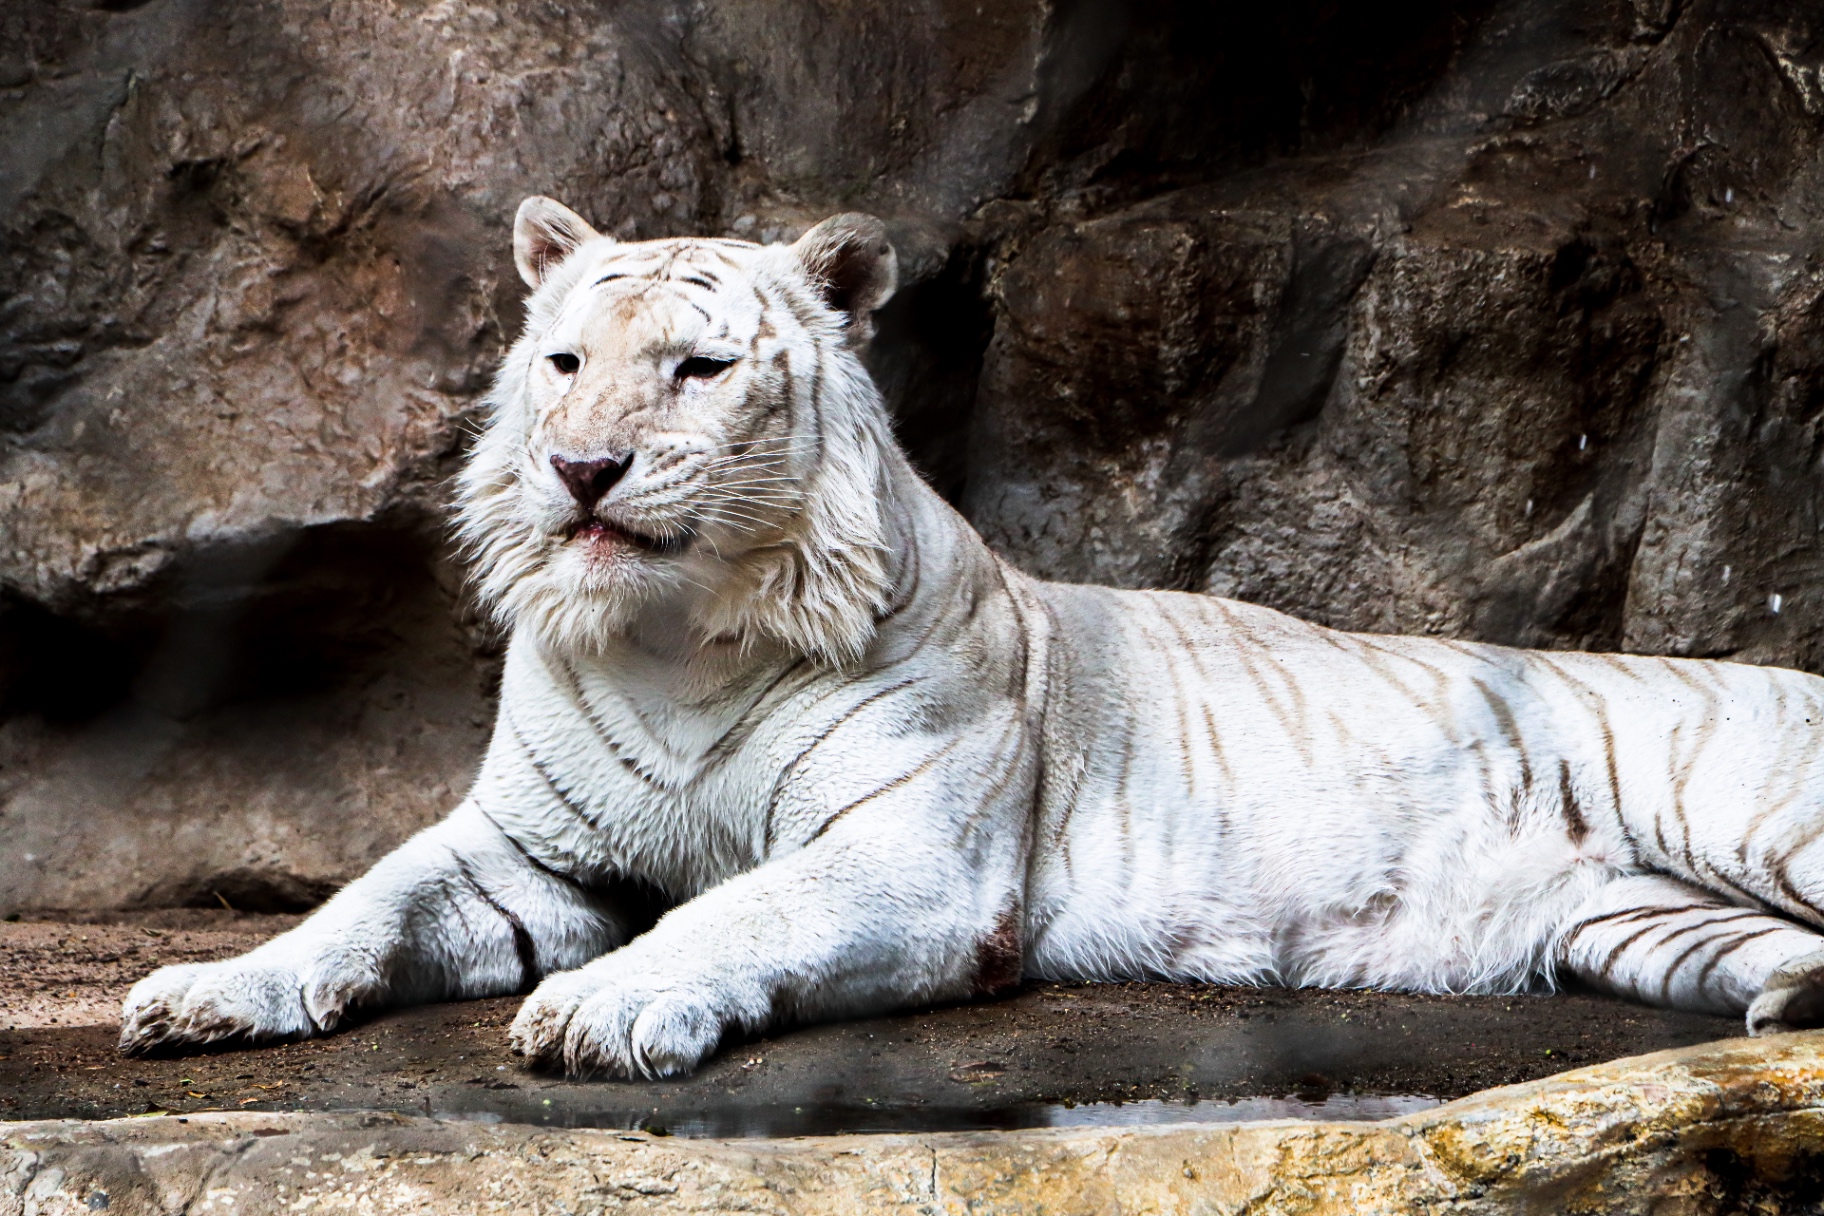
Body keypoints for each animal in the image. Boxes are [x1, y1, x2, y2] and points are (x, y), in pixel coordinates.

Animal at [119, 195, 1824, 1077]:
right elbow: (364, 903)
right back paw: (1793, 1009)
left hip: (1752, 816)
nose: (582, 469)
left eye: (696, 368)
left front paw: (602, 1010)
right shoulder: (520, 849)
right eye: (563, 361)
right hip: (1642, 922)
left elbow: (734, 913)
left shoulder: (909, 858)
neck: (673, 638)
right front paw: (207, 994)